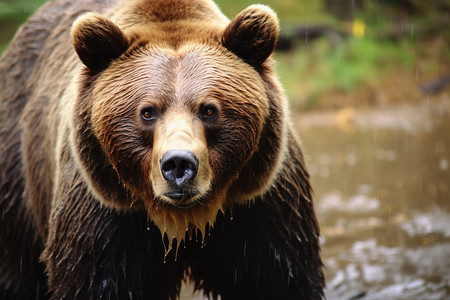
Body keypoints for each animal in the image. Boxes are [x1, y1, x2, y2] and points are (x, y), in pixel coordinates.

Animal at [0, 0, 324, 298]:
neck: (185, 220)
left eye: (208, 109)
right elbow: (93, 280)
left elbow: (281, 275)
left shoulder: (260, 207)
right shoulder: (103, 217)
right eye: (147, 112)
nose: (178, 164)